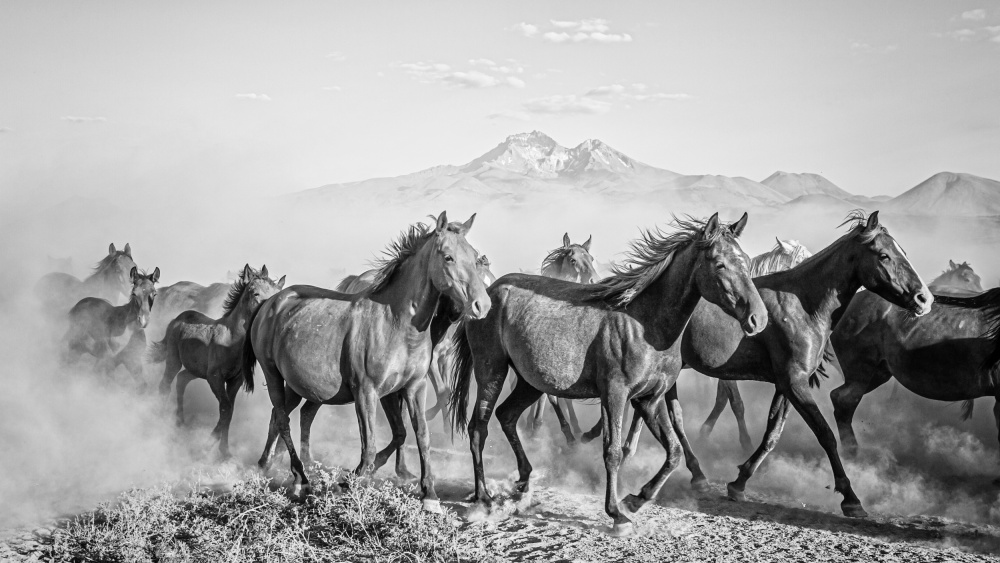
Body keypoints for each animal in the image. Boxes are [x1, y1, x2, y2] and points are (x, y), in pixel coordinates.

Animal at [147, 265, 285, 457]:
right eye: (255, 293)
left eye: (276, 293)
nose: (270, 315)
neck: (231, 340)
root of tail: (176, 320)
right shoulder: (215, 378)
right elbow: (225, 408)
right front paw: (208, 446)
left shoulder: (235, 380)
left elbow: (230, 410)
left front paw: (224, 450)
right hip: (174, 359)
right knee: (165, 385)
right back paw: (160, 422)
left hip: (196, 369)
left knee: (182, 379)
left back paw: (180, 422)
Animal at [242, 212, 491, 512]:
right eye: (448, 257)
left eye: (475, 256)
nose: (482, 306)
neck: (396, 324)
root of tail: (270, 302)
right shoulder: (366, 392)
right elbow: (370, 445)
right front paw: (351, 482)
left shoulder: (410, 388)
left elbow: (418, 435)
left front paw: (429, 495)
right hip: (273, 375)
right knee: (282, 418)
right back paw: (300, 478)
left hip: (297, 384)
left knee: (286, 416)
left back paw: (269, 463)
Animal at [610, 210, 931, 519]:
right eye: (884, 255)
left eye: (901, 251)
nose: (924, 299)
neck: (802, 306)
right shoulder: (794, 382)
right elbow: (825, 435)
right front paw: (850, 499)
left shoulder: (786, 384)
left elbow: (772, 434)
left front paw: (739, 482)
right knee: (669, 416)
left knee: (672, 416)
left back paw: (692, 473)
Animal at [826, 261, 999, 481]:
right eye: (967, 279)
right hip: (860, 372)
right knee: (844, 401)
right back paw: (853, 455)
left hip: (878, 374)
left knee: (838, 397)